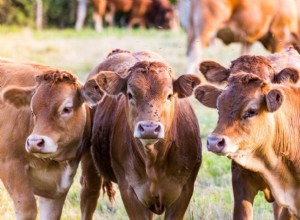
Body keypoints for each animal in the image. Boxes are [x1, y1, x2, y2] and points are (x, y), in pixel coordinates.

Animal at [0, 59, 105, 219]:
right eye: (32, 110)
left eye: (66, 109)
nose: (35, 143)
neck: (51, 163)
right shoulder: (10, 164)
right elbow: (27, 207)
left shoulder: (56, 190)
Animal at [79, 49, 202, 220]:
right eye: (130, 94)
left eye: (169, 95)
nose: (149, 128)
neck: (154, 161)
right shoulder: (129, 191)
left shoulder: (184, 191)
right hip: (89, 164)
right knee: (89, 196)